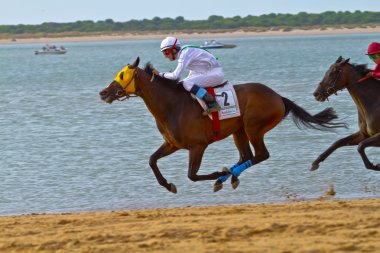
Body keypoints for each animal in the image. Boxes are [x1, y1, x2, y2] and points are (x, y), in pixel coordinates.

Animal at [99, 56, 346, 192]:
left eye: (122, 75)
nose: (104, 92)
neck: (171, 105)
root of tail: (278, 97)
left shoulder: (198, 146)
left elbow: (192, 175)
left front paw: (218, 172)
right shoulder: (172, 144)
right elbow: (152, 160)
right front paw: (168, 185)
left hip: (253, 127)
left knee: (260, 155)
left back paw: (226, 176)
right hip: (239, 131)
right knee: (247, 156)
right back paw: (230, 176)